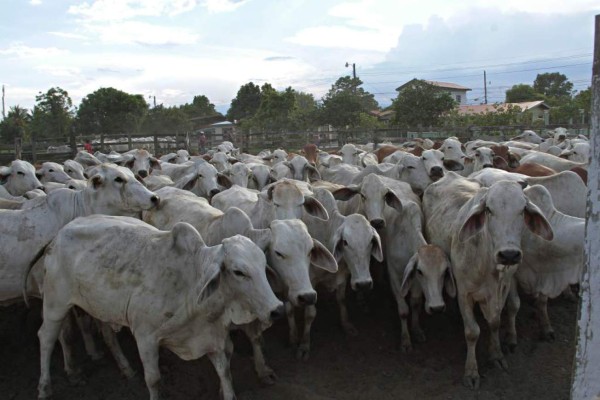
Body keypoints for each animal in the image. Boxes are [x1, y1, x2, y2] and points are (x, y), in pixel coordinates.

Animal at [35, 216, 284, 400]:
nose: (276, 309)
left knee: (104, 335)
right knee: (47, 337)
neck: (191, 282)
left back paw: (124, 368)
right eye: (238, 272)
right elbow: (154, 380)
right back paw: (46, 386)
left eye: (263, 265)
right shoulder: (146, 337)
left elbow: (225, 372)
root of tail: (58, 235)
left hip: (100, 307)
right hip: (56, 303)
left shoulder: (211, 336)